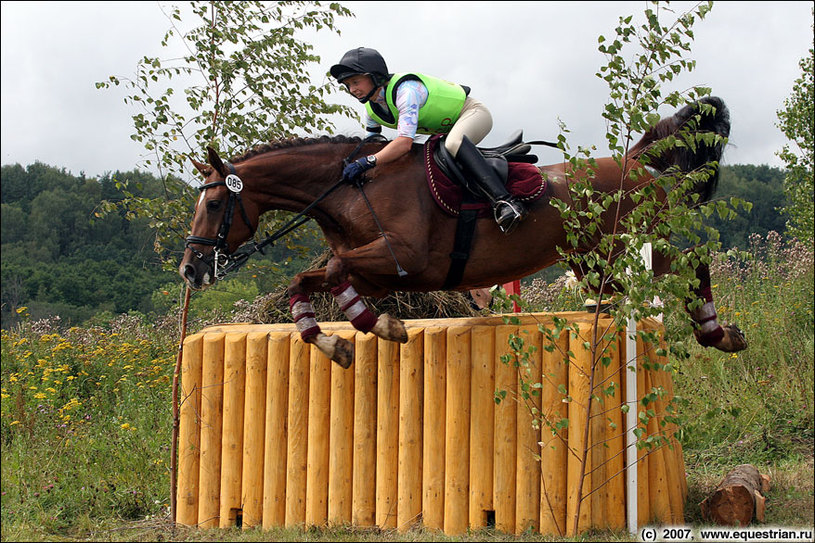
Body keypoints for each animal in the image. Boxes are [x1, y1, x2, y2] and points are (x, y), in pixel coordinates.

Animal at [182, 96, 748, 370]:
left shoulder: (402, 259)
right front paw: (337, 344)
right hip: (590, 258)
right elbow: (305, 282)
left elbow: (337, 271)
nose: (191, 269)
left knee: (694, 261)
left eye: (215, 203)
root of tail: (637, 164)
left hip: (643, 240)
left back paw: (718, 332)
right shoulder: (376, 273)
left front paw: (381, 327)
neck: (350, 189)